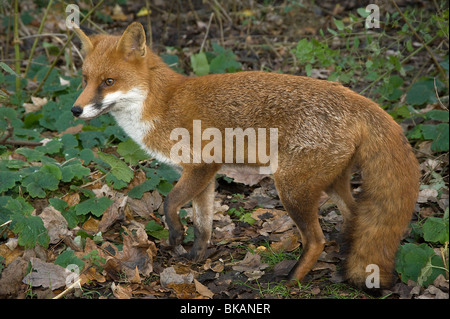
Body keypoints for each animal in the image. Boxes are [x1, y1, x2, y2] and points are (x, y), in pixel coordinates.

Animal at [72, 21, 420, 290]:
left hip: (292, 188)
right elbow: (203, 224)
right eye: (84, 80)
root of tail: (356, 97)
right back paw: (343, 261)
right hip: (330, 182)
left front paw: (175, 234)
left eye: (109, 82)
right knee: (355, 217)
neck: (163, 104)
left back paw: (292, 280)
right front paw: (195, 257)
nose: (75, 110)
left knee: (318, 240)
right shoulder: (206, 176)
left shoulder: (201, 165)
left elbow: (170, 203)